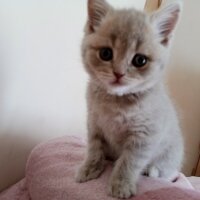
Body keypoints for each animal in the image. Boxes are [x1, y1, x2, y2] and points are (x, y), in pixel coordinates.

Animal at [76, 0, 184, 198]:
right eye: (105, 53)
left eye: (140, 60)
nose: (118, 73)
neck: (116, 102)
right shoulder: (94, 123)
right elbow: (94, 149)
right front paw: (89, 168)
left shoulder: (145, 136)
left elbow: (129, 162)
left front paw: (121, 185)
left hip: (170, 155)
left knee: (167, 173)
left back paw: (152, 170)